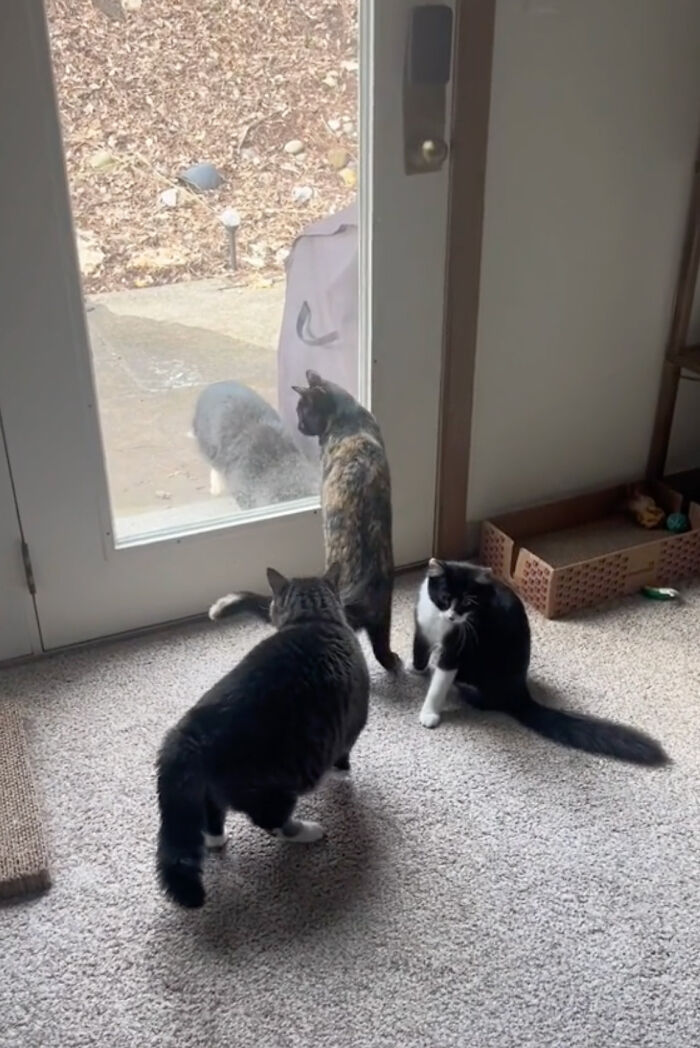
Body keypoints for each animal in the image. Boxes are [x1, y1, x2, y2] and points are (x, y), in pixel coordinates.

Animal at [156, 563, 369, 909]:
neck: (313, 617)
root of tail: (189, 732)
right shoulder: (353, 723)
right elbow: (343, 757)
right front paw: (342, 776)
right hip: (274, 787)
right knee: (273, 822)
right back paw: (309, 831)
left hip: (210, 790)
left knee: (211, 818)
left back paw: (215, 839)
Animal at [209, 370, 400, 672]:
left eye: (303, 411)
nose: (298, 426)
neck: (349, 419)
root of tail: (353, 596)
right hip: (385, 608)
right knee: (381, 645)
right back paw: (395, 662)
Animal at [413, 558, 669, 765]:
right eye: (445, 598)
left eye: (468, 604)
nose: (452, 616)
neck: (439, 621)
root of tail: (520, 696)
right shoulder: (423, 624)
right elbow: (419, 648)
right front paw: (415, 669)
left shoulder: (459, 644)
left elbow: (440, 683)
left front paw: (429, 713)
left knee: (484, 700)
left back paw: (464, 690)